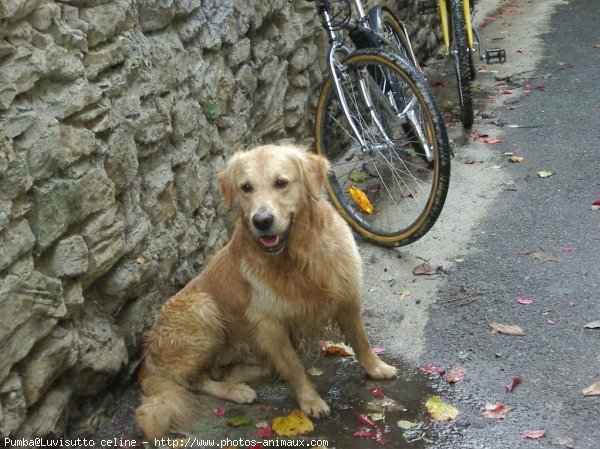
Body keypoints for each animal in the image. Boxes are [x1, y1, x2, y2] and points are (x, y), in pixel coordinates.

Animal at [137, 144, 398, 438]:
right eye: (246, 187)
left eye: (281, 183)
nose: (262, 221)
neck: (297, 257)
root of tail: (146, 359)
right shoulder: (269, 325)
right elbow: (294, 367)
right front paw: (311, 401)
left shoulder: (346, 294)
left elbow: (361, 339)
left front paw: (377, 368)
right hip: (203, 307)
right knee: (196, 381)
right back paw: (238, 391)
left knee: (225, 371)